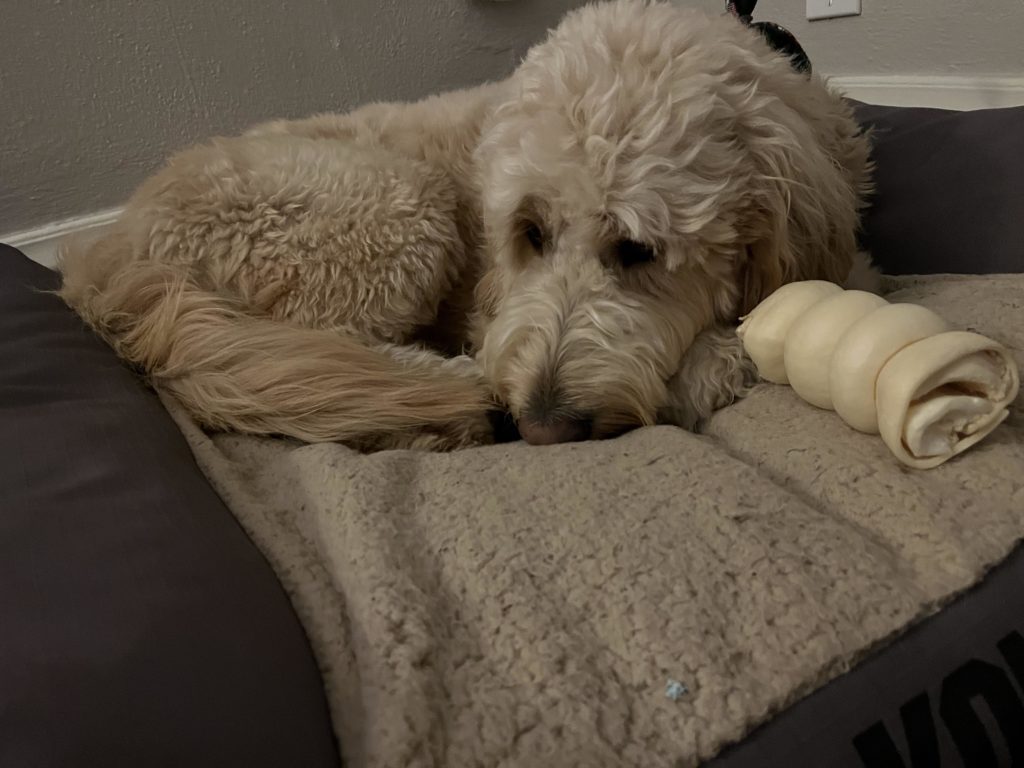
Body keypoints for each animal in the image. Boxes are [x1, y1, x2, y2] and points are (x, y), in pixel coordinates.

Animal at [58, 1, 872, 450]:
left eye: (639, 248)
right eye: (531, 233)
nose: (538, 424)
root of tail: (111, 250)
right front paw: (710, 363)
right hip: (393, 208)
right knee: (322, 350)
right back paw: (441, 399)